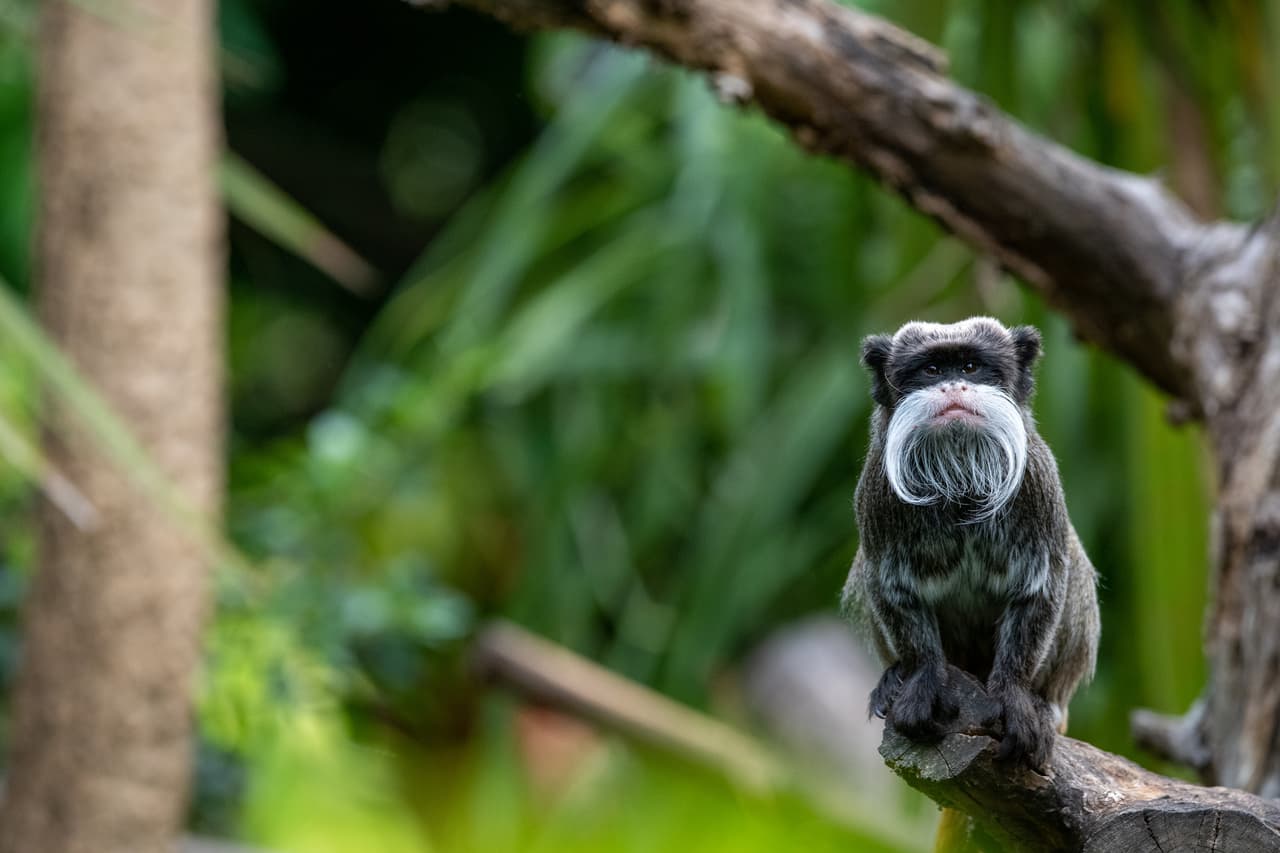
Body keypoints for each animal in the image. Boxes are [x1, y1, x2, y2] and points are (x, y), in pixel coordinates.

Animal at [842, 317, 1099, 770]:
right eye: (931, 370)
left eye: (970, 367)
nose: (953, 387)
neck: (959, 473)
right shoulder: (876, 494)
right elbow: (892, 592)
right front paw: (921, 678)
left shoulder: (1037, 483)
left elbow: (1041, 588)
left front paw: (1015, 697)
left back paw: (1045, 703)